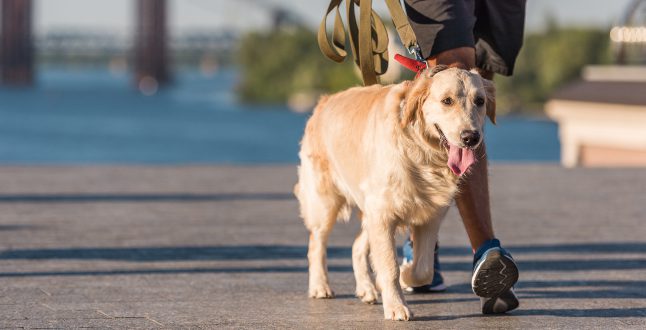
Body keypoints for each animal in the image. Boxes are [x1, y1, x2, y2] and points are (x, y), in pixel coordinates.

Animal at [296, 65, 498, 320]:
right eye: (447, 101)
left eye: (480, 101)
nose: (470, 137)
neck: (423, 152)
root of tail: (324, 101)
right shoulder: (382, 214)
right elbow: (389, 265)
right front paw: (396, 306)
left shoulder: (430, 215)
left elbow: (423, 269)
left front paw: (406, 276)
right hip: (325, 203)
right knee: (316, 244)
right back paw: (320, 286)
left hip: (368, 210)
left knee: (356, 246)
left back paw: (366, 288)